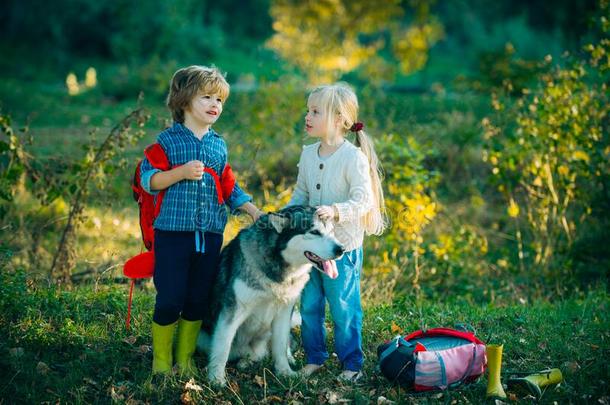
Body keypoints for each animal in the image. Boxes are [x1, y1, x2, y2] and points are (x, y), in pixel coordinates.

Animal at [197, 205, 344, 386]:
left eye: (332, 231)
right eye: (315, 232)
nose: (341, 249)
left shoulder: (284, 311)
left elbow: (279, 345)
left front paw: (285, 372)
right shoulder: (232, 311)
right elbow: (222, 348)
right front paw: (216, 379)